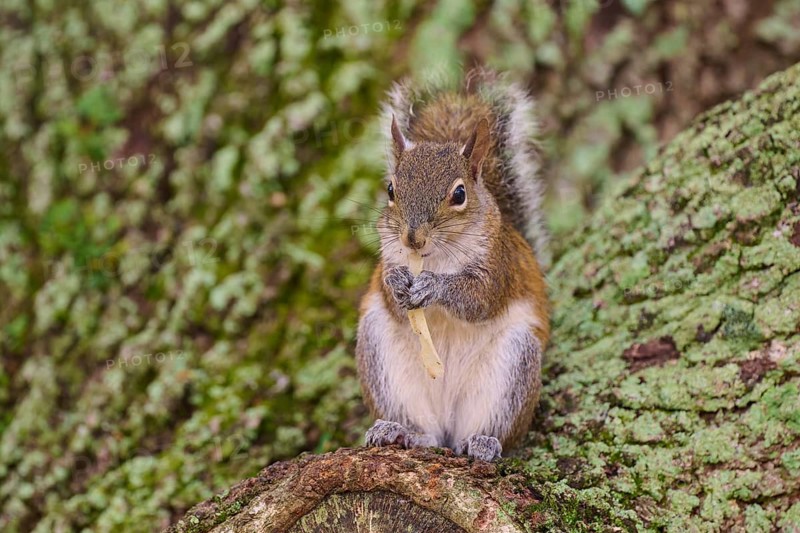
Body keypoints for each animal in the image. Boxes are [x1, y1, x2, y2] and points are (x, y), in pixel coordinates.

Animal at [356, 69, 550, 461]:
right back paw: (400, 432)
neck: (435, 258)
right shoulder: (389, 253)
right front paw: (396, 281)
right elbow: (392, 298)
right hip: (384, 361)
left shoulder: (499, 265)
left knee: (489, 431)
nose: (413, 239)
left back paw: (481, 443)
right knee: (426, 432)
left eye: (459, 194)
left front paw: (434, 286)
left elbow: (478, 300)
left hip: (512, 367)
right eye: (390, 190)